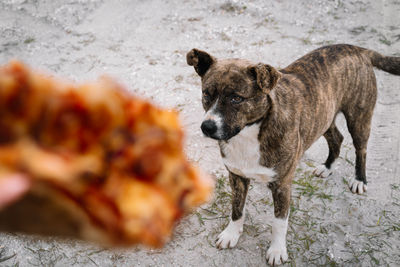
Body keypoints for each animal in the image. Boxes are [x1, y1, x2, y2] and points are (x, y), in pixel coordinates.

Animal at [187, 45, 400, 266]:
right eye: (206, 94)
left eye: (236, 98)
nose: (207, 127)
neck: (250, 133)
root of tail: (356, 48)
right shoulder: (237, 177)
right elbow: (237, 209)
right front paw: (231, 234)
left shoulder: (282, 185)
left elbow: (279, 222)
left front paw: (277, 250)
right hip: (323, 117)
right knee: (337, 138)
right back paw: (327, 167)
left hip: (359, 117)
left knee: (361, 148)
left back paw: (359, 179)